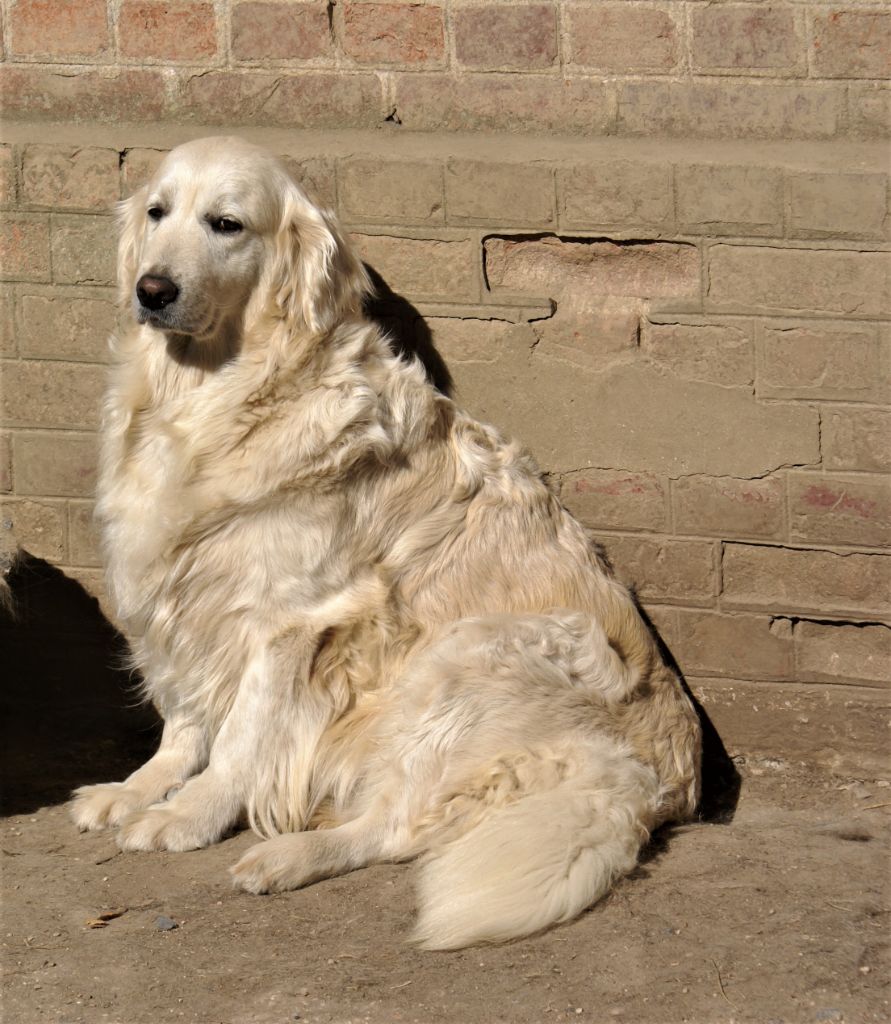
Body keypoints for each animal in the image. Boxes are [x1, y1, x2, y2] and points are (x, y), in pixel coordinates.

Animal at [71, 138, 704, 950]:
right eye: (157, 211)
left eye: (226, 224)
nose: (152, 290)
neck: (218, 394)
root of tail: (661, 781)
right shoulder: (180, 586)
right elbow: (184, 720)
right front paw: (135, 790)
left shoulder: (289, 617)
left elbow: (243, 733)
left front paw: (188, 814)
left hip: (468, 656)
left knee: (401, 826)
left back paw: (287, 855)